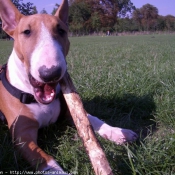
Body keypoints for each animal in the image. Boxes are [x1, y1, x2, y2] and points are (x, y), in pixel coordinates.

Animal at [0, 0, 137, 173]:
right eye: (26, 32)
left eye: (61, 30)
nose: (51, 73)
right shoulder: (23, 136)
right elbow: (44, 159)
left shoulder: (69, 113)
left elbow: (92, 120)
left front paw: (118, 132)